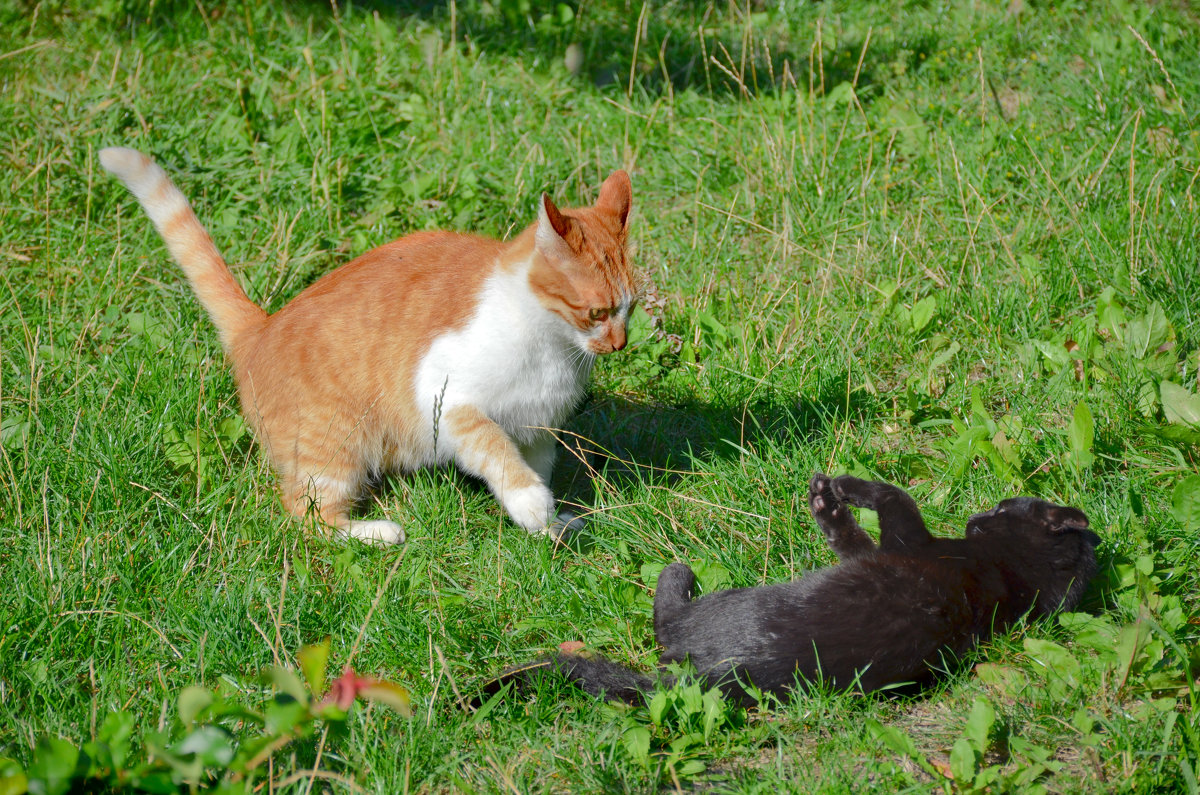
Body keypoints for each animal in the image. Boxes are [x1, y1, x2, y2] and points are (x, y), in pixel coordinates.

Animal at [100, 147, 638, 547]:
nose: (619, 345)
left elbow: (533, 465)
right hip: (334, 445)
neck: (553, 347)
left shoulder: (538, 428)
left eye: (630, 309)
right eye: (596, 313)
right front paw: (531, 504)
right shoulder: (445, 397)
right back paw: (378, 533)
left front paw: (552, 524)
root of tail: (261, 328)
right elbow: (496, 449)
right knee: (306, 514)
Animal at [482, 473, 1099, 706]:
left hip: (712, 609)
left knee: (665, 618)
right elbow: (858, 529)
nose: (978, 512)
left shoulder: (905, 544)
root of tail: (707, 677)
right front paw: (828, 501)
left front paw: (836, 490)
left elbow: (891, 498)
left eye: (1001, 509)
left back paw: (676, 569)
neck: (1013, 574)